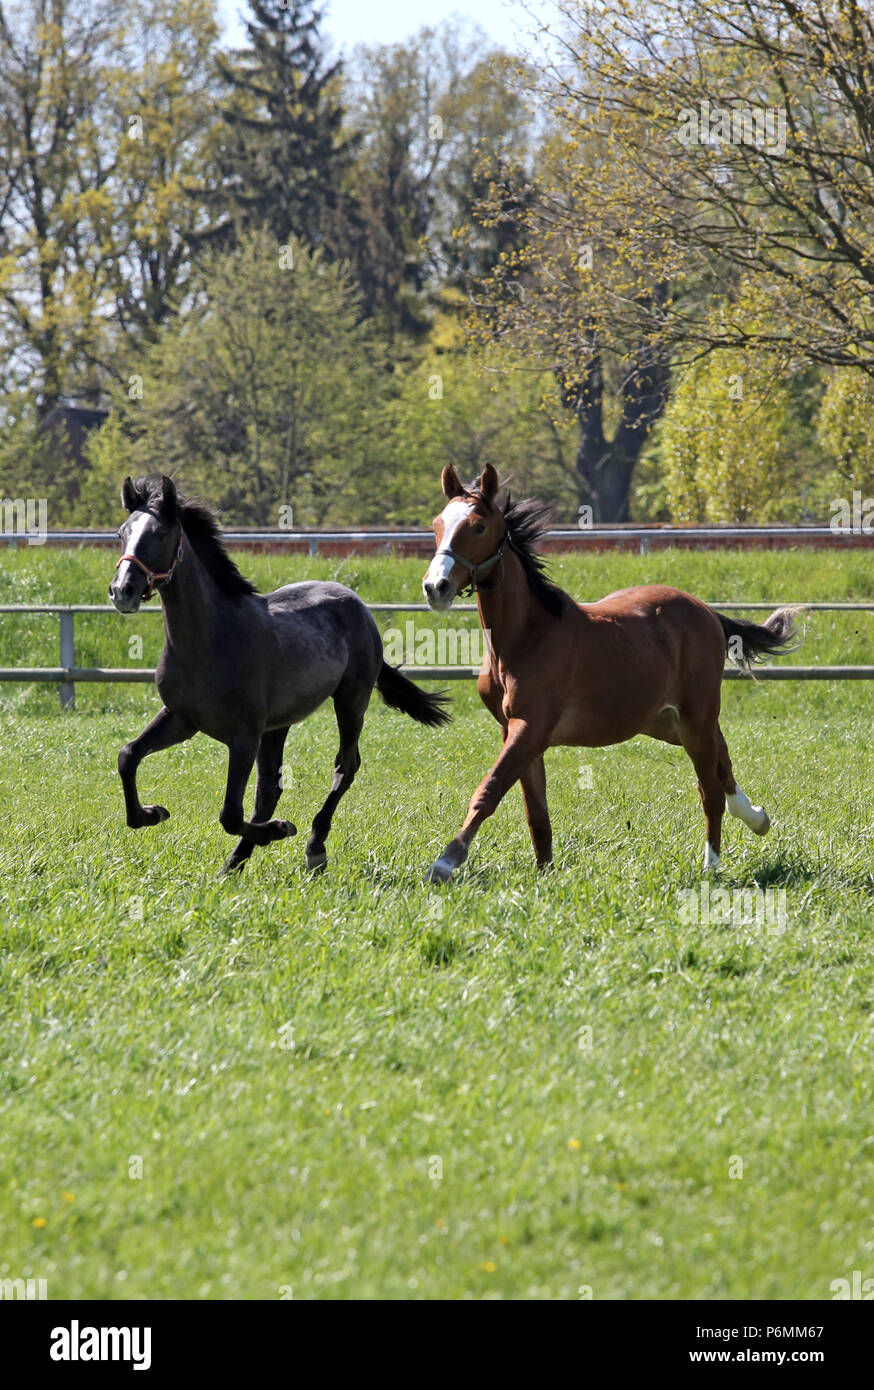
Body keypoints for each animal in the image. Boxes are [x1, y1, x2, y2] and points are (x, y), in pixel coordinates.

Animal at [108, 472, 447, 872]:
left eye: (159, 533)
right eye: (122, 532)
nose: (122, 590)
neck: (210, 639)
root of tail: (357, 604)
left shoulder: (244, 735)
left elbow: (229, 814)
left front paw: (281, 830)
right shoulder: (181, 719)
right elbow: (128, 756)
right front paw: (152, 813)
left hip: (351, 700)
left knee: (345, 766)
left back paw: (313, 847)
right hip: (278, 725)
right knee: (271, 789)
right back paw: (235, 863)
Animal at [419, 464, 794, 878]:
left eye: (478, 526)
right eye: (437, 524)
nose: (435, 587)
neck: (525, 636)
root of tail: (708, 612)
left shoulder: (530, 726)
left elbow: (490, 789)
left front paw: (444, 863)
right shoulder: (515, 730)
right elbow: (536, 811)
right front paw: (545, 872)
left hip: (695, 717)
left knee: (710, 787)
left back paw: (711, 865)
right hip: (668, 723)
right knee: (722, 764)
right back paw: (758, 818)